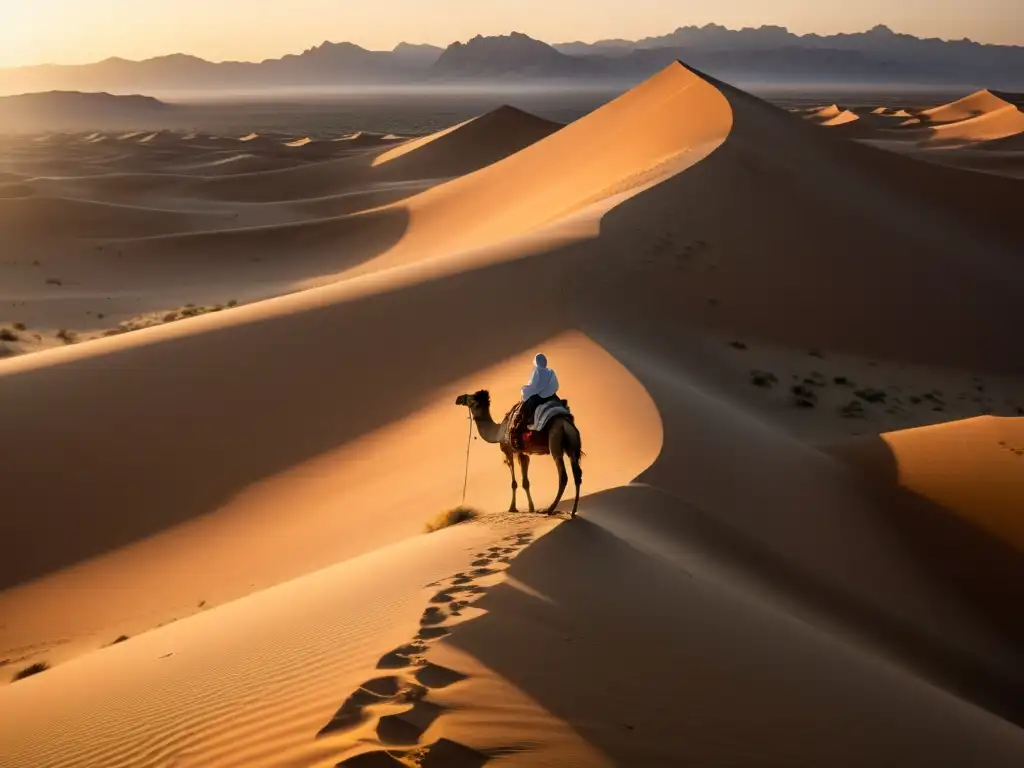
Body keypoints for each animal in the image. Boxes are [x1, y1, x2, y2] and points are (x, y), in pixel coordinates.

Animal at [455, 390, 584, 517]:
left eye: (471, 398)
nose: (459, 398)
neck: (498, 433)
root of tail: (565, 424)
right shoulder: (525, 454)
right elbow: (526, 482)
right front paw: (531, 508)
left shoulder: (510, 451)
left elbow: (516, 483)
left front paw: (513, 508)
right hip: (571, 446)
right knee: (577, 474)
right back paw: (573, 512)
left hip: (555, 444)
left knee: (563, 476)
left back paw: (549, 510)